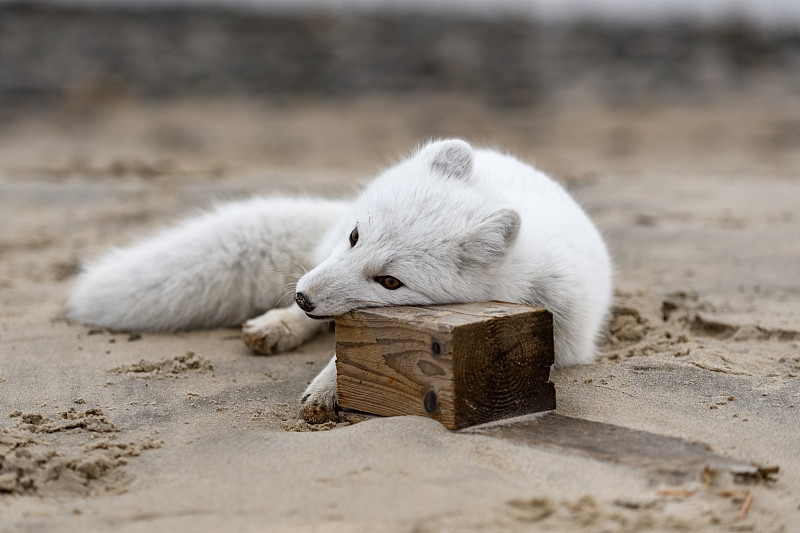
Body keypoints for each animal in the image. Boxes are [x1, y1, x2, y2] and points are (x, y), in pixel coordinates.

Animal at [65, 139, 612, 422]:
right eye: (355, 236)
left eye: (390, 282)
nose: (303, 297)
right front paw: (320, 370)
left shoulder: (560, 339)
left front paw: (329, 386)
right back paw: (278, 325)